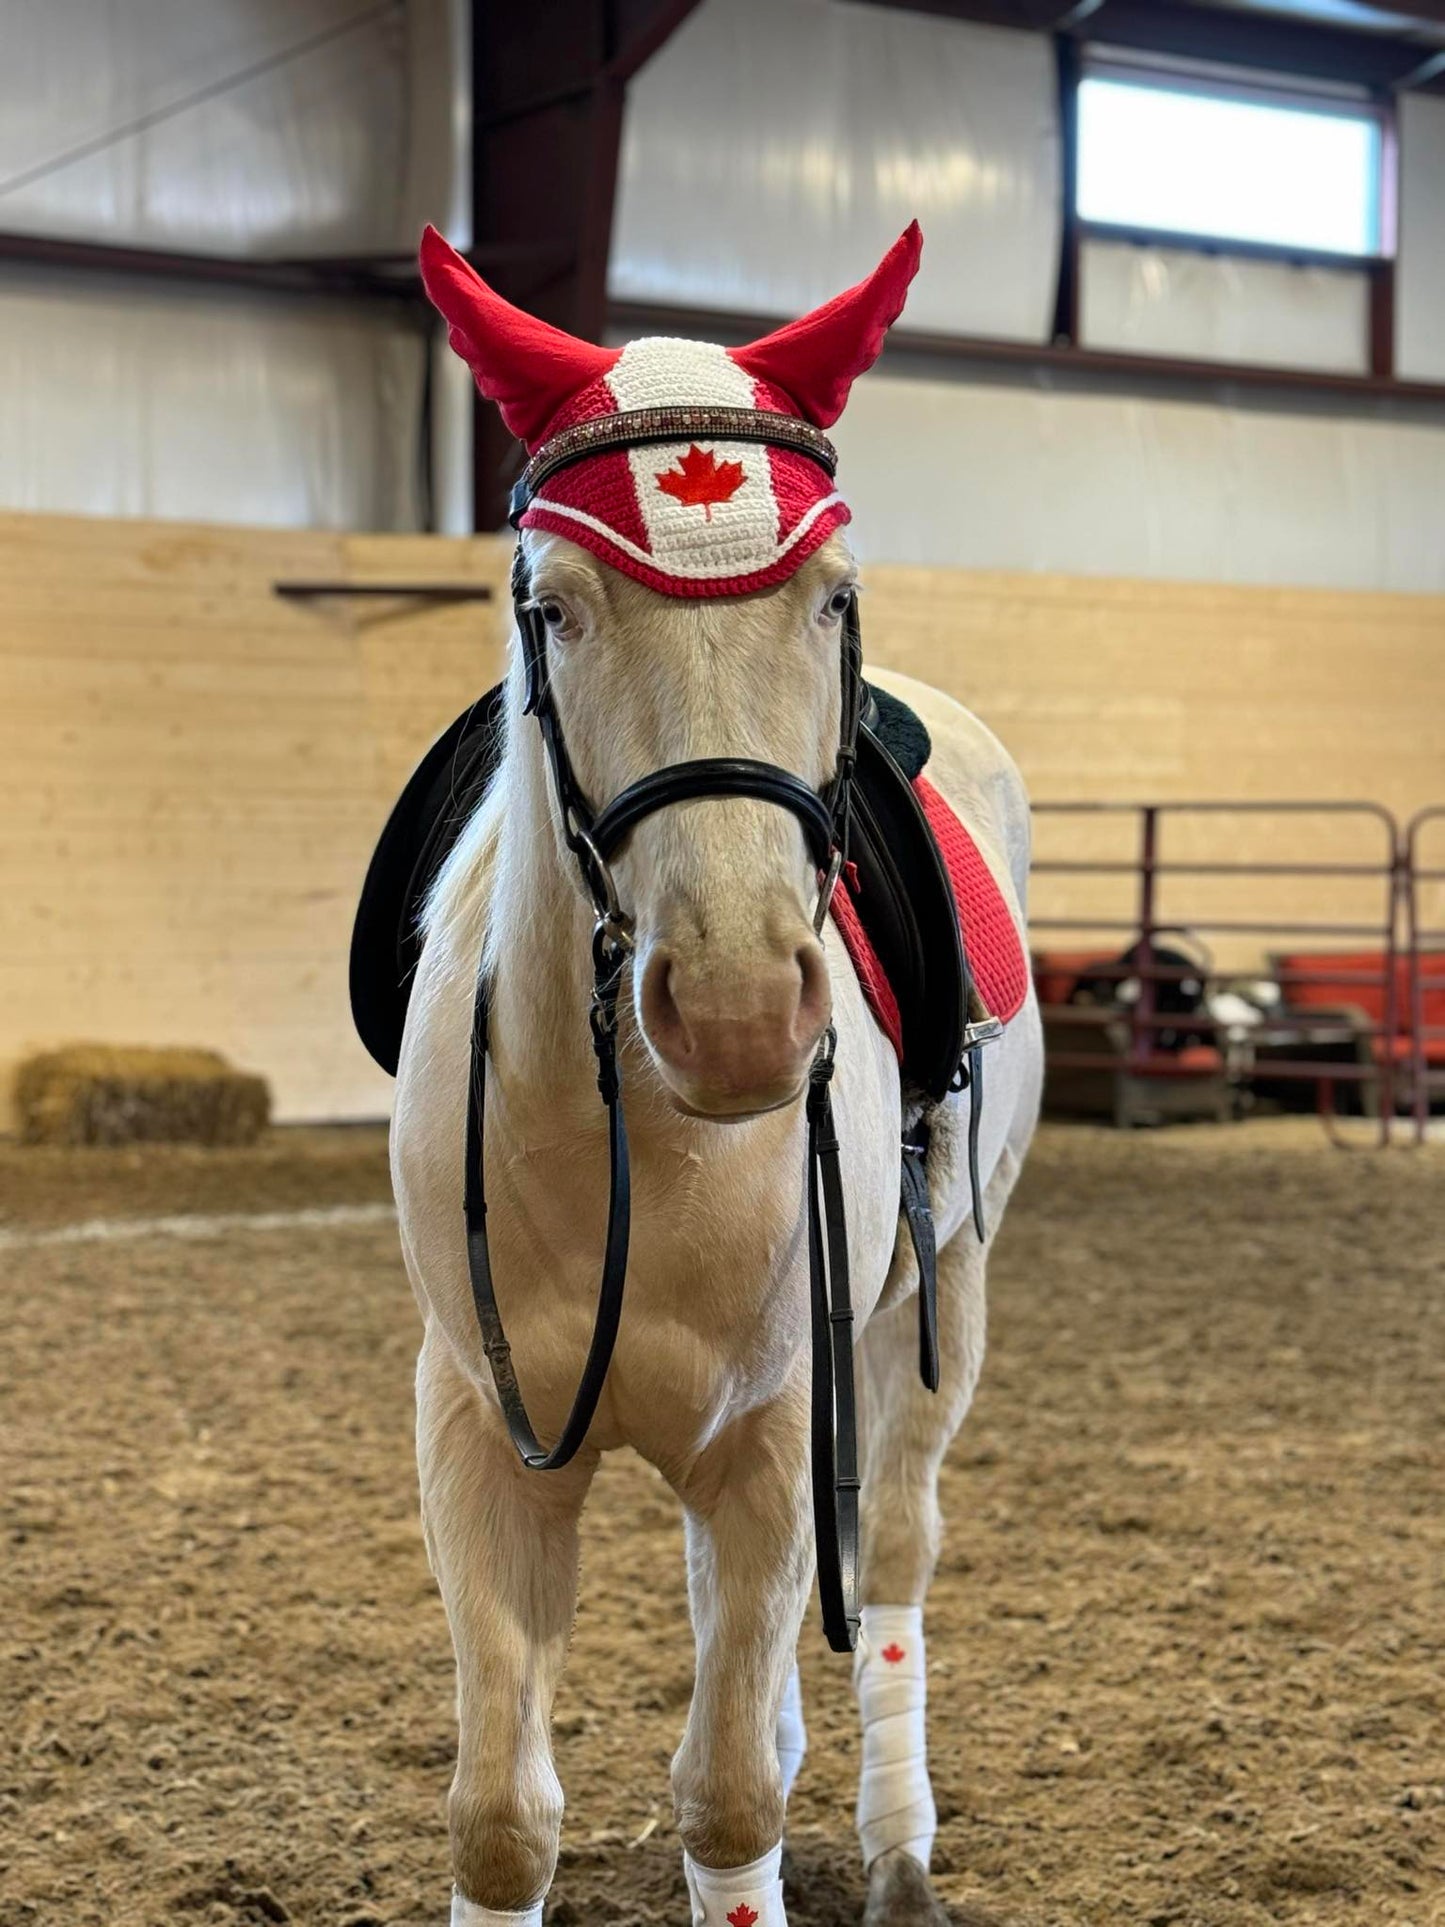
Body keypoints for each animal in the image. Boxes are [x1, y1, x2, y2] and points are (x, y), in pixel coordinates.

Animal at [385, 229, 1040, 1927]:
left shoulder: (772, 1431)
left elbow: (729, 1788)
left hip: (938, 1306)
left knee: (891, 1562)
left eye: (832, 597)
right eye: (556, 608)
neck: (634, 1131)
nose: (742, 1009)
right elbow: (503, 1815)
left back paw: (896, 1841)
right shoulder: (476, 1428)